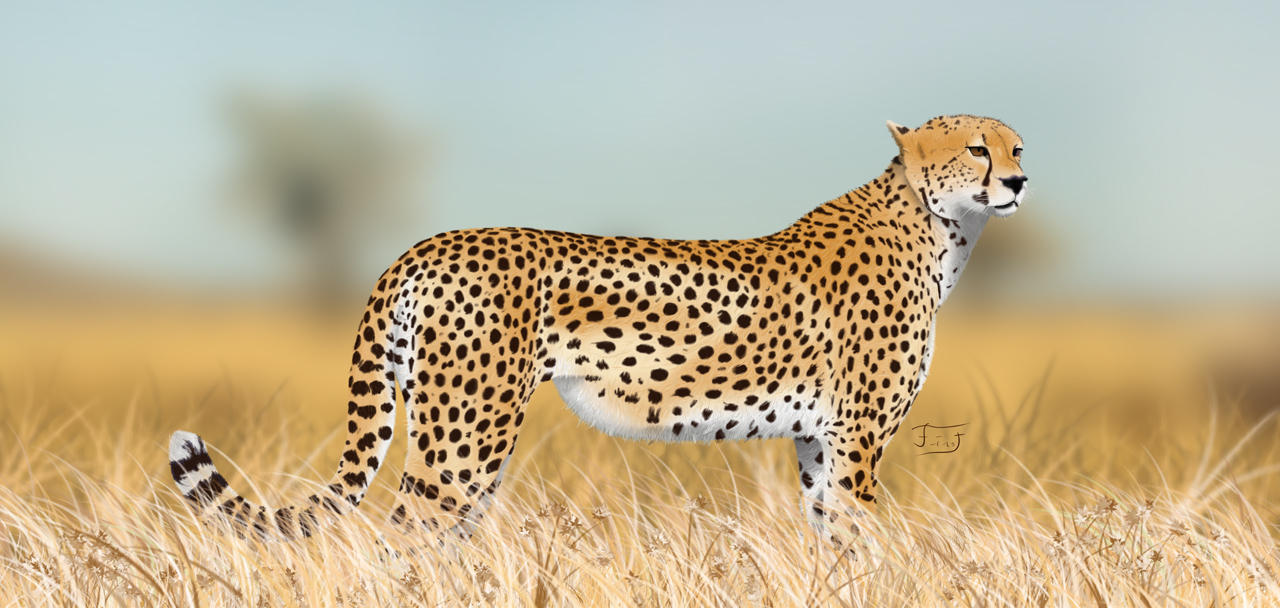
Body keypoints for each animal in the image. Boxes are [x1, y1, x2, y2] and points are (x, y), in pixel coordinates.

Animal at [169, 114, 1027, 548]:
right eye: (977, 148)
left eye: (1018, 146)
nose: (1019, 180)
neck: (939, 226)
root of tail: (428, 243)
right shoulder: (855, 440)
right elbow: (861, 539)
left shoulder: (822, 440)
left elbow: (831, 535)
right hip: (467, 436)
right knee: (406, 535)